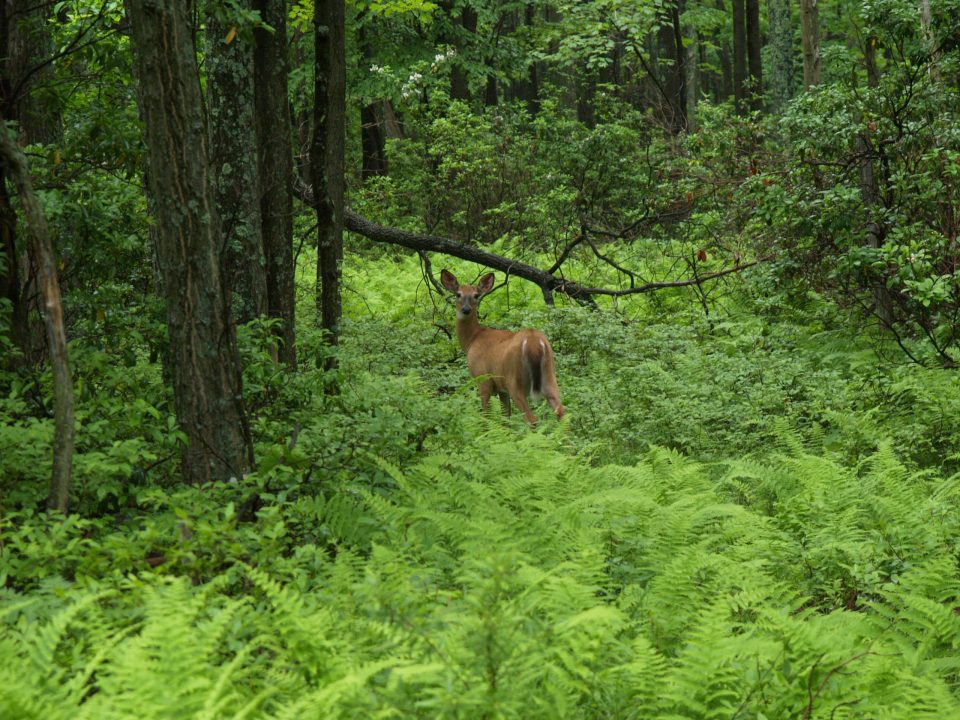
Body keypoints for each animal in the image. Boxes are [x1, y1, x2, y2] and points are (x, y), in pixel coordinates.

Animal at [440, 270, 568, 428]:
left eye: (476, 295)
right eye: (458, 294)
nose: (466, 309)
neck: (473, 339)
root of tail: (534, 341)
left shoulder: (483, 379)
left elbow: (486, 417)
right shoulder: (502, 389)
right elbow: (506, 419)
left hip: (514, 379)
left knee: (532, 419)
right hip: (549, 374)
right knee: (561, 412)